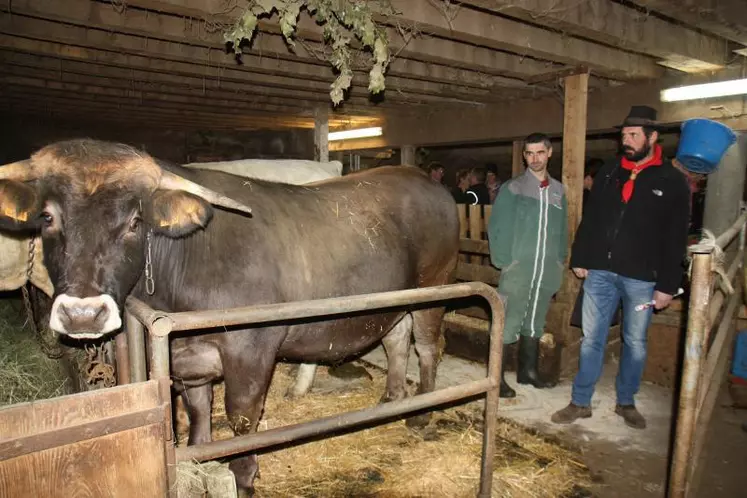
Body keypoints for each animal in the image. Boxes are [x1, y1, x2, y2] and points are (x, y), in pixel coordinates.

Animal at [0, 140, 458, 494]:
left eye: (135, 221)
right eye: (47, 217)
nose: (82, 314)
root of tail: (421, 179)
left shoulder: (250, 345)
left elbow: (241, 414)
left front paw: (243, 476)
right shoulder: (185, 353)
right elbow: (199, 407)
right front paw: (200, 455)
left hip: (434, 286)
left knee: (427, 347)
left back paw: (422, 414)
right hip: (390, 301)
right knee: (396, 340)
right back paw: (392, 398)